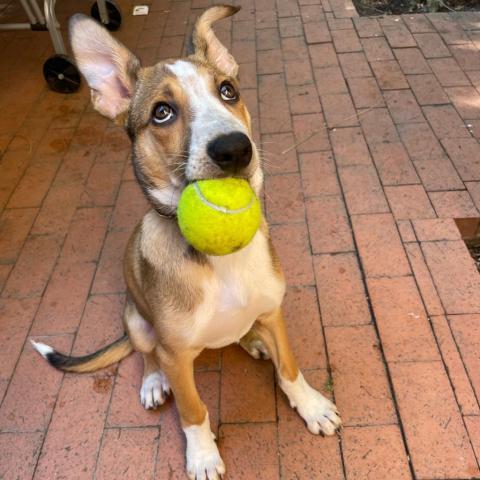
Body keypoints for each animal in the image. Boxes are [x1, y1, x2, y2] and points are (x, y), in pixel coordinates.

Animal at [31, 5, 342, 478]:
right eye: (162, 112)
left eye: (229, 91)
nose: (236, 149)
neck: (220, 261)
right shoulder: (177, 356)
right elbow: (193, 410)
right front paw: (202, 455)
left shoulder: (274, 312)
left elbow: (289, 367)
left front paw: (310, 406)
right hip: (136, 318)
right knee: (146, 353)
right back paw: (153, 382)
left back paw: (253, 341)